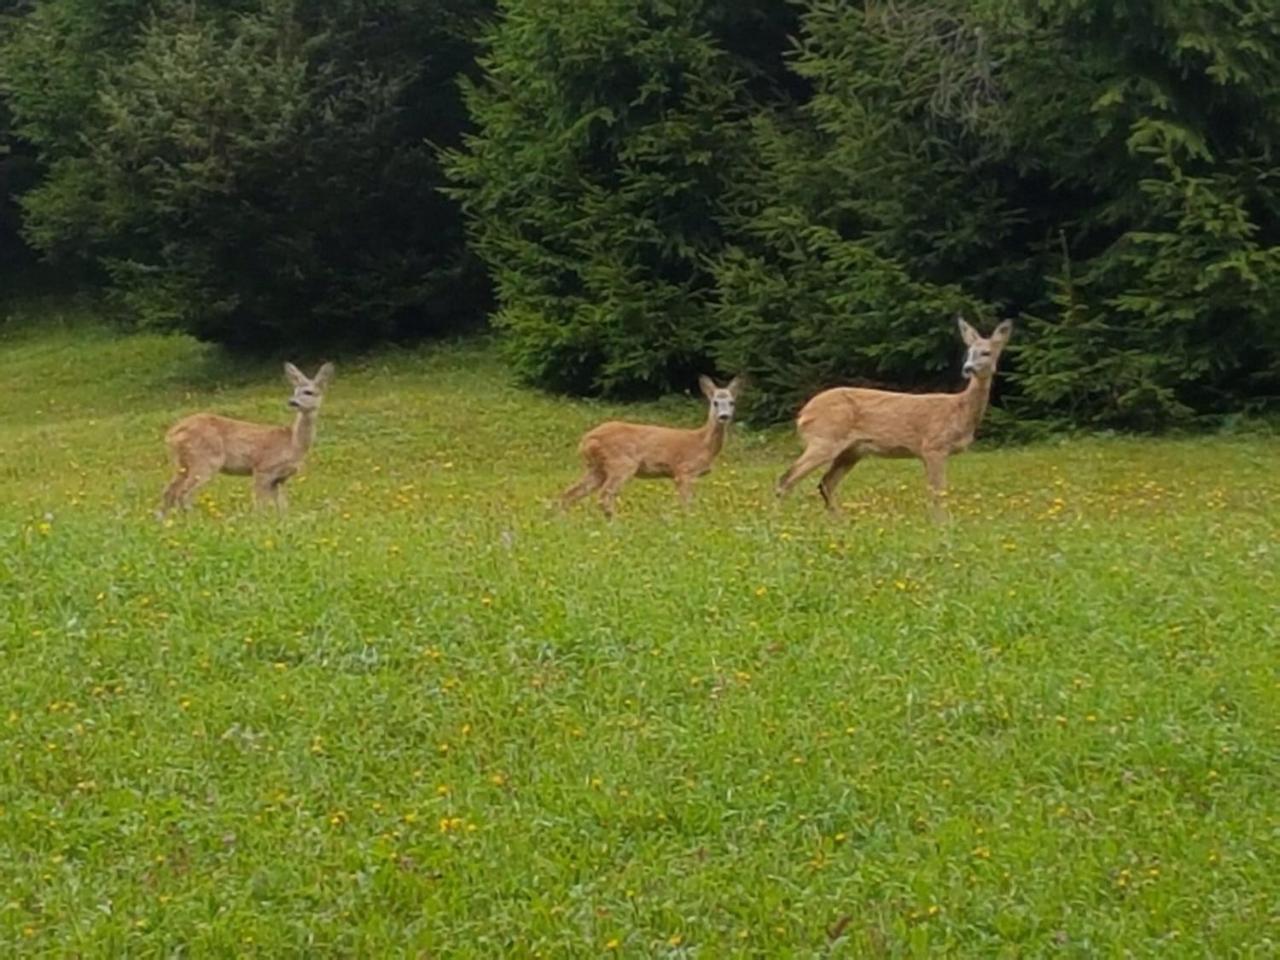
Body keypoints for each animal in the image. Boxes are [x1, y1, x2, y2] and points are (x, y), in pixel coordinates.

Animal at [160, 363, 335, 519]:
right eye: (294, 390)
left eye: (309, 392)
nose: (292, 402)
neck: (293, 443)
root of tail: (171, 433)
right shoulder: (263, 468)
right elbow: (260, 503)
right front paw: (258, 522)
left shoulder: (280, 479)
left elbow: (282, 506)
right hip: (204, 460)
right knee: (183, 492)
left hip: (182, 463)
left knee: (169, 490)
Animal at [558, 378, 747, 522]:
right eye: (715, 403)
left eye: (732, 402)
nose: (724, 416)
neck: (702, 442)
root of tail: (586, 440)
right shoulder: (684, 470)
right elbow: (686, 503)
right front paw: (689, 521)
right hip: (621, 463)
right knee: (604, 495)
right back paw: (616, 524)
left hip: (597, 468)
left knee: (570, 492)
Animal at [773, 317, 1013, 519]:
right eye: (969, 351)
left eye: (986, 353)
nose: (968, 368)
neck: (960, 410)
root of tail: (803, 413)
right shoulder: (933, 446)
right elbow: (938, 490)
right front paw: (942, 523)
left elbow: (934, 490)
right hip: (825, 438)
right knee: (787, 478)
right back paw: (779, 519)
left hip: (852, 450)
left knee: (826, 483)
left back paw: (840, 521)